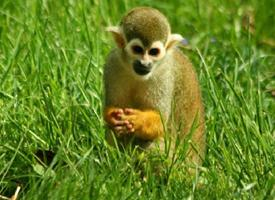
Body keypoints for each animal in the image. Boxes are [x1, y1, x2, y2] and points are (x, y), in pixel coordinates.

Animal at [104, 6, 206, 166]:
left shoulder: (166, 75)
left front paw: (138, 121)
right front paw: (112, 116)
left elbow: (161, 122)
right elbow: (113, 108)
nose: (144, 63)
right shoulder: (113, 63)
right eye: (137, 50)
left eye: (153, 52)